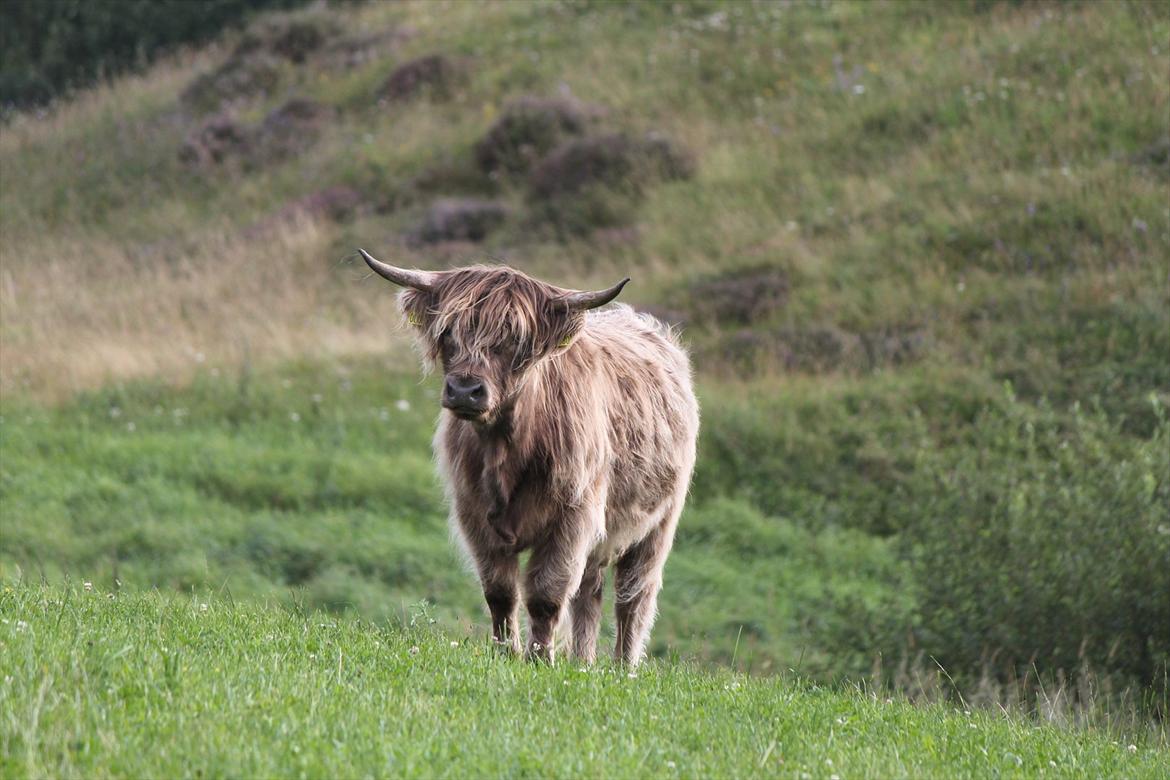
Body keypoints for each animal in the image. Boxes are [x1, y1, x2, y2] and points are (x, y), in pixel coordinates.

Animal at [360, 249, 699, 665]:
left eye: (515, 340)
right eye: (449, 331)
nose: (465, 390)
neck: (507, 449)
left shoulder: (573, 517)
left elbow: (546, 594)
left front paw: (540, 659)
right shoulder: (475, 516)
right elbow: (500, 591)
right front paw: (506, 653)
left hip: (658, 524)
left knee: (633, 597)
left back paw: (624, 667)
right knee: (590, 593)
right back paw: (583, 663)